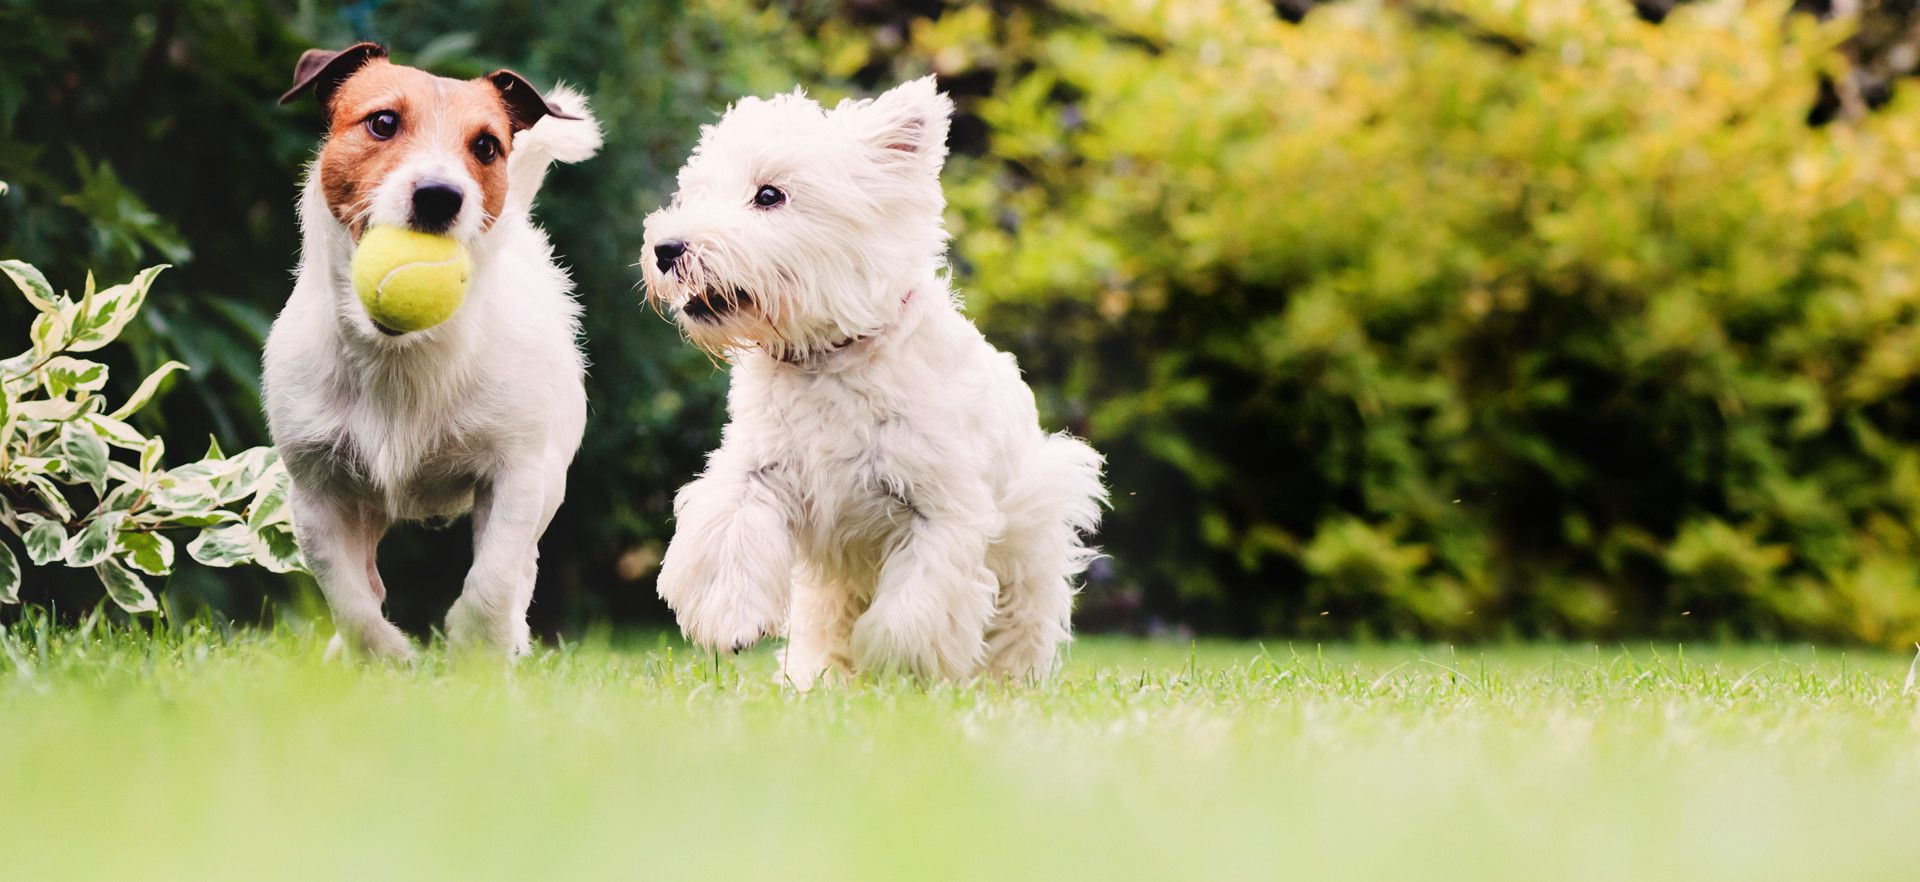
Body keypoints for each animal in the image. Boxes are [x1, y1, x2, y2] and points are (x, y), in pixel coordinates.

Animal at [264, 44, 599, 661]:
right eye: (382, 122)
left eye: (487, 146)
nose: (441, 196)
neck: (401, 352)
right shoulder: (316, 492)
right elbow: (347, 596)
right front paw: (384, 655)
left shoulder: (516, 477)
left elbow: (492, 577)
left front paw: (476, 645)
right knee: (368, 580)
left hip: (547, 482)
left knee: (521, 569)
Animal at [637, 75, 1105, 687]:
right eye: (694, 192)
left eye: (769, 195)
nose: (666, 249)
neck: (829, 358)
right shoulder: (759, 470)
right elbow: (731, 530)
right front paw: (732, 620)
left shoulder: (941, 509)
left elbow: (910, 614)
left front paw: (896, 670)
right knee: (826, 631)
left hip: (1032, 542)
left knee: (1018, 627)